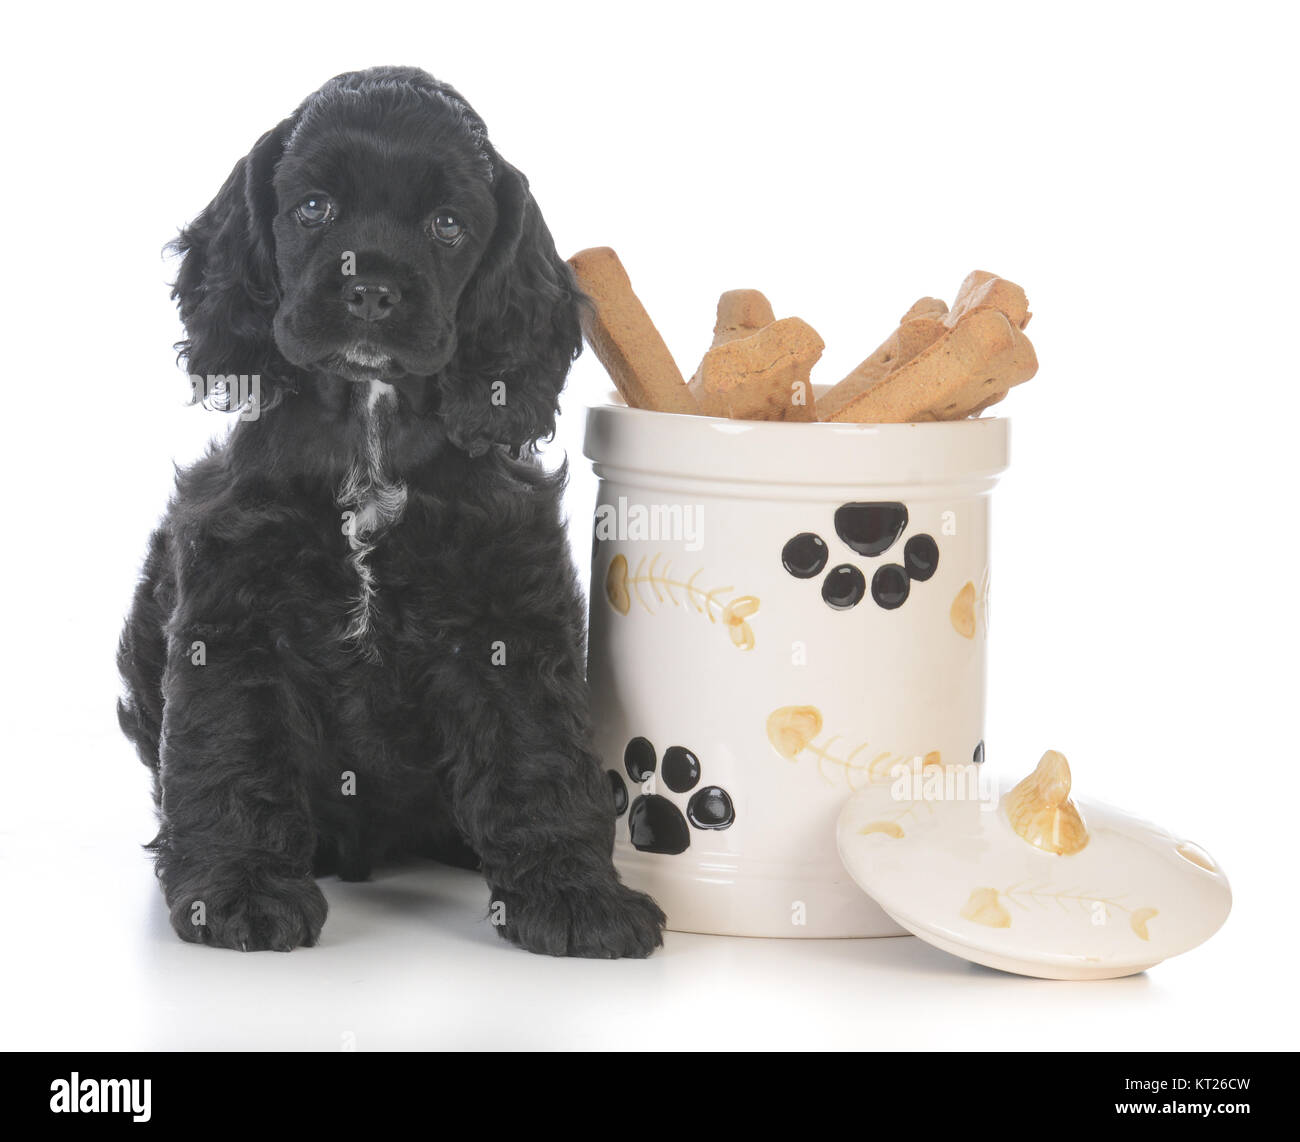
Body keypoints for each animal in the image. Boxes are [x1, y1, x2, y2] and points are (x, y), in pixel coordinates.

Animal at [116, 66, 665, 962]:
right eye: (313, 207)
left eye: (448, 225)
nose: (370, 288)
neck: (370, 425)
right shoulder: (232, 613)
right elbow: (230, 749)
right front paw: (238, 892)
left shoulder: (509, 618)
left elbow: (538, 756)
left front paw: (576, 896)